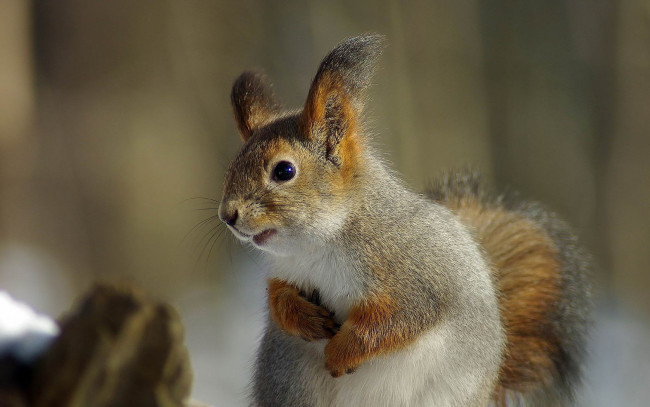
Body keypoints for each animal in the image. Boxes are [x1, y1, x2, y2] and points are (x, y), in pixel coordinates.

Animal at [216, 34, 588, 407]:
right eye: (233, 164)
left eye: (284, 171)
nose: (228, 215)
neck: (318, 244)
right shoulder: (286, 271)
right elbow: (278, 296)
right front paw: (300, 316)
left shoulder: (416, 275)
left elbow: (397, 319)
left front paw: (341, 352)